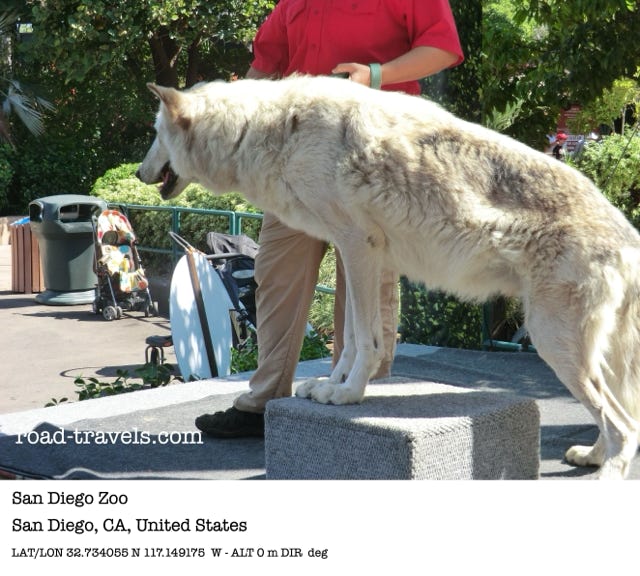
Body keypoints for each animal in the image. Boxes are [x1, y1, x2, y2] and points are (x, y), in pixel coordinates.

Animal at [138, 75, 640, 479]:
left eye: (156, 134)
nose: (139, 173)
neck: (266, 130)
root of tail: (628, 235)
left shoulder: (357, 247)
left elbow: (365, 339)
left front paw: (349, 394)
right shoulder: (355, 255)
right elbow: (351, 338)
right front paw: (331, 385)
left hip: (552, 341)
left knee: (624, 424)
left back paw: (605, 473)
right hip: (586, 354)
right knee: (618, 416)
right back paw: (590, 456)